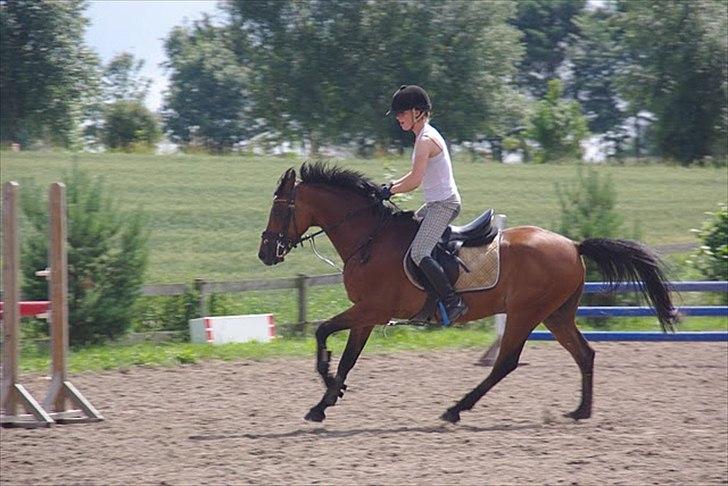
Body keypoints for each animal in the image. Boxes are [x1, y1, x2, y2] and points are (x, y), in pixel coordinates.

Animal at [258, 161, 676, 424]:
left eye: (279, 209)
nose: (265, 254)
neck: (369, 239)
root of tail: (574, 245)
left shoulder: (372, 310)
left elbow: (322, 332)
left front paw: (329, 388)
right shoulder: (366, 315)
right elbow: (346, 359)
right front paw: (326, 400)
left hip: (525, 313)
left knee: (506, 363)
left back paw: (456, 409)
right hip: (556, 315)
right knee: (585, 354)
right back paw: (580, 411)